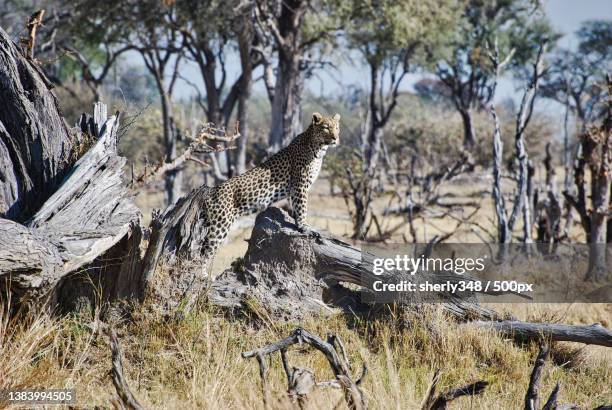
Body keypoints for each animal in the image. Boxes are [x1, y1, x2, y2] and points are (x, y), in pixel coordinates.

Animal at [198, 111, 340, 272]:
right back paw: (202, 275)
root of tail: (210, 192)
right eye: (326, 127)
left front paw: (297, 223)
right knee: (203, 253)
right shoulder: (300, 185)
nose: (336, 138)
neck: (318, 147)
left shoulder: (295, 189)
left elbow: (296, 207)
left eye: (337, 127)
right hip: (219, 225)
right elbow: (302, 207)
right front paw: (304, 227)